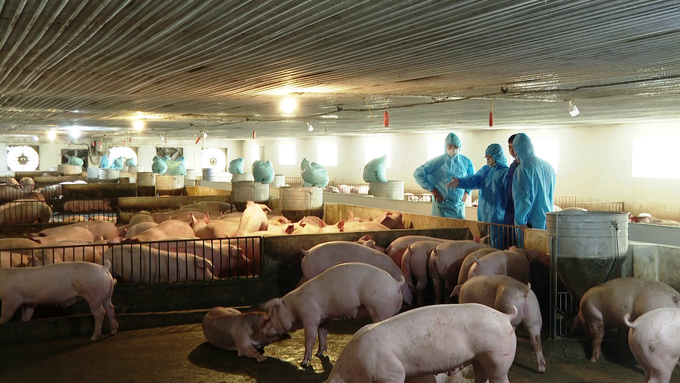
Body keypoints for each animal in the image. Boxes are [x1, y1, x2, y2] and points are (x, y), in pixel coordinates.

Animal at [262, 262, 406, 368]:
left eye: (271, 314)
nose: (263, 329)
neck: (293, 308)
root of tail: (396, 284)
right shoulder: (325, 318)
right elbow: (322, 334)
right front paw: (320, 353)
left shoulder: (310, 317)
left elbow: (310, 339)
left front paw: (303, 363)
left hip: (380, 309)